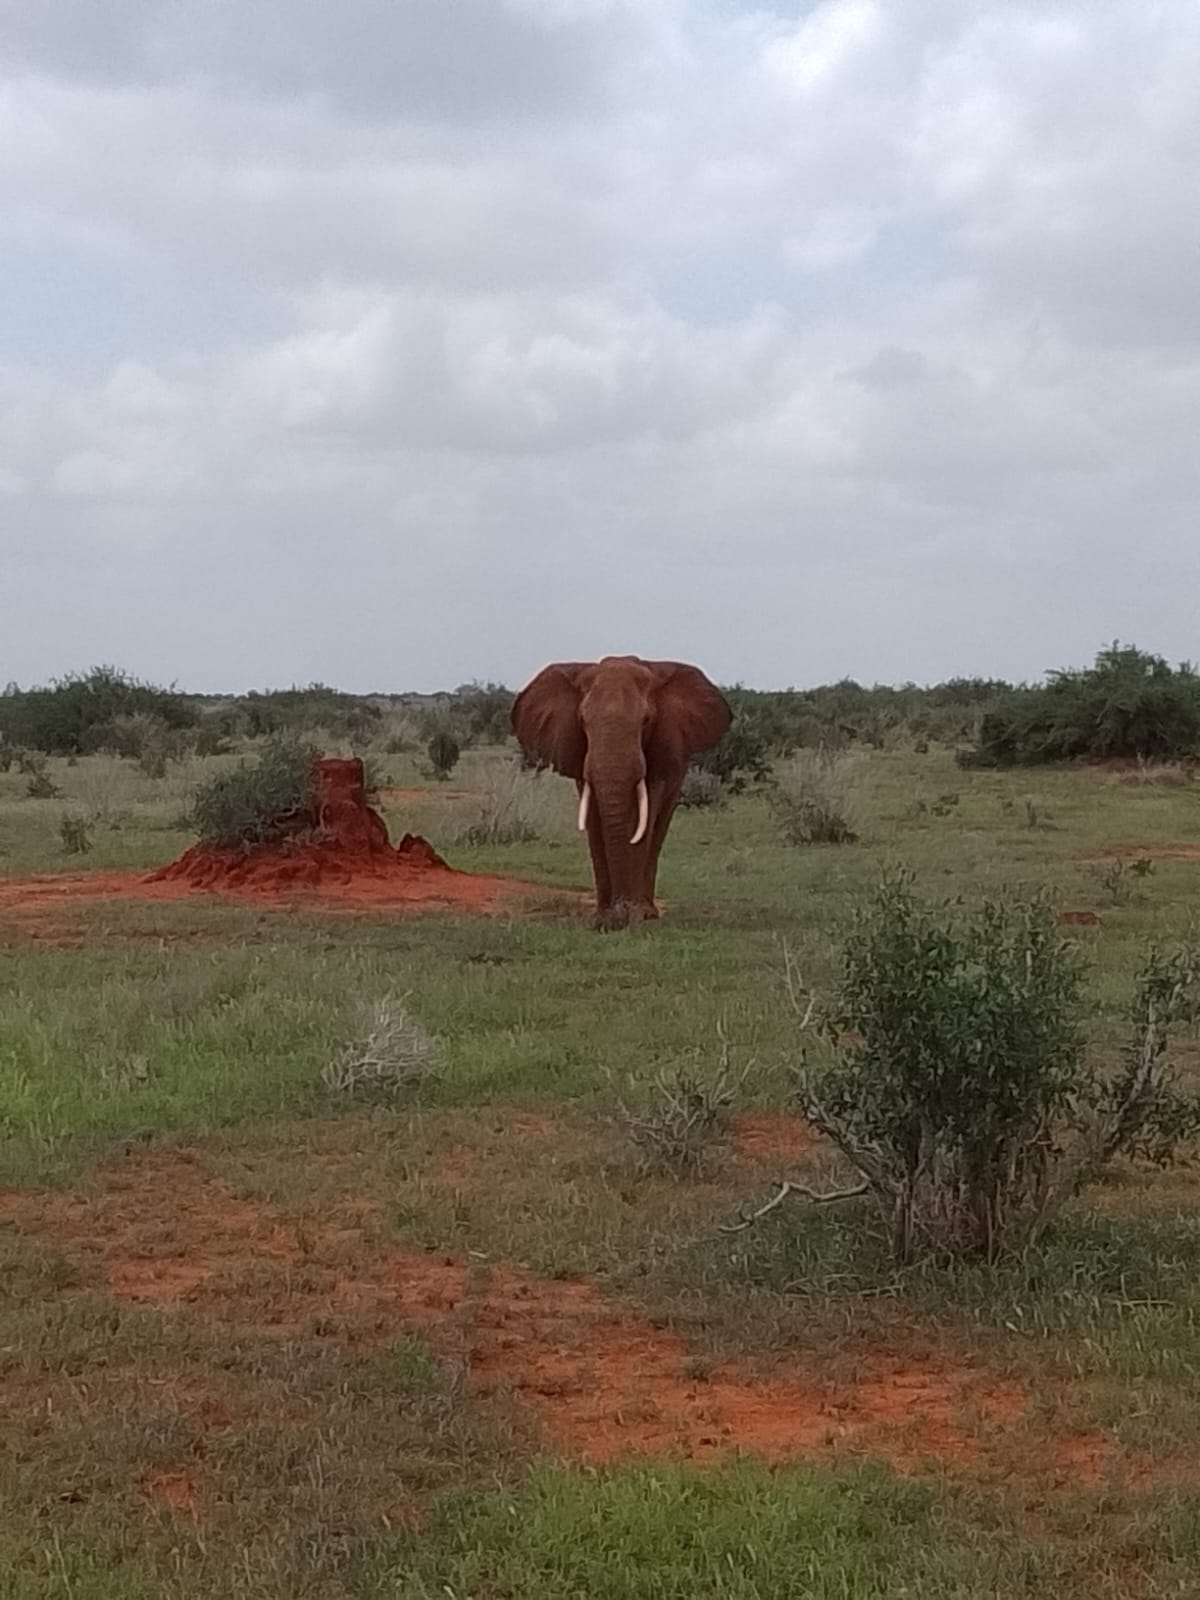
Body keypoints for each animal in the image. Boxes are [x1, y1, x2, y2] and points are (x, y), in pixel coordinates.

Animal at [512, 655, 731, 929]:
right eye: (582, 721)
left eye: (646, 721)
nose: (620, 913)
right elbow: (594, 819)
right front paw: (603, 918)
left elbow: (646, 812)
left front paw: (633, 916)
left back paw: (649, 913)